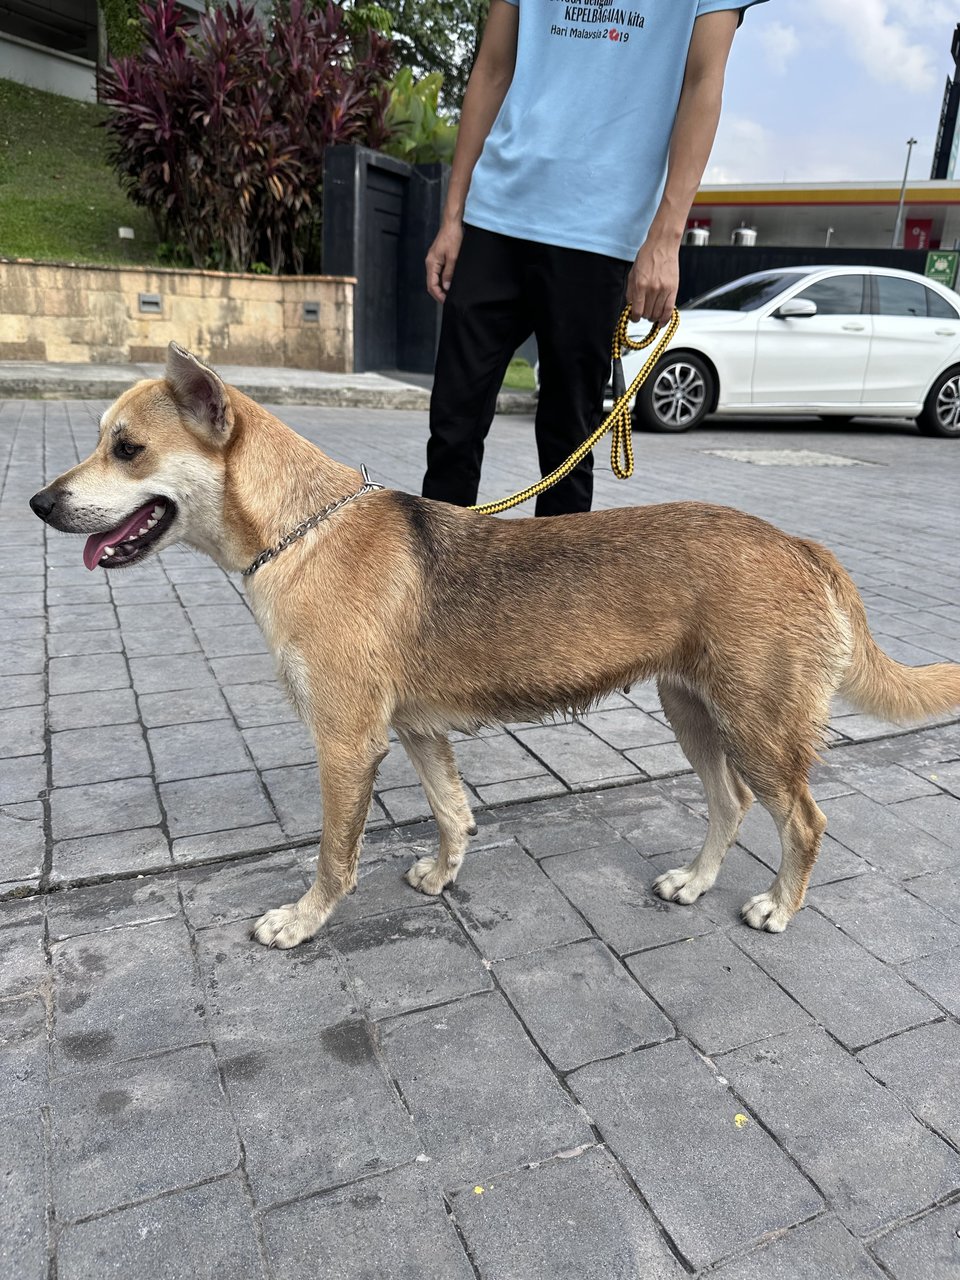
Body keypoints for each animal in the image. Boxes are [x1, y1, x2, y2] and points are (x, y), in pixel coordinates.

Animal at [30, 345, 960, 947]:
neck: (303, 530)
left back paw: (780, 906)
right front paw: (443, 878)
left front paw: (302, 920)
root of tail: (799, 543)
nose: (39, 504)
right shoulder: (416, 732)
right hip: (693, 712)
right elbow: (454, 814)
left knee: (803, 820)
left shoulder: (347, 745)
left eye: (127, 448)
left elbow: (334, 858)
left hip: (760, 730)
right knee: (728, 805)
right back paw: (695, 882)